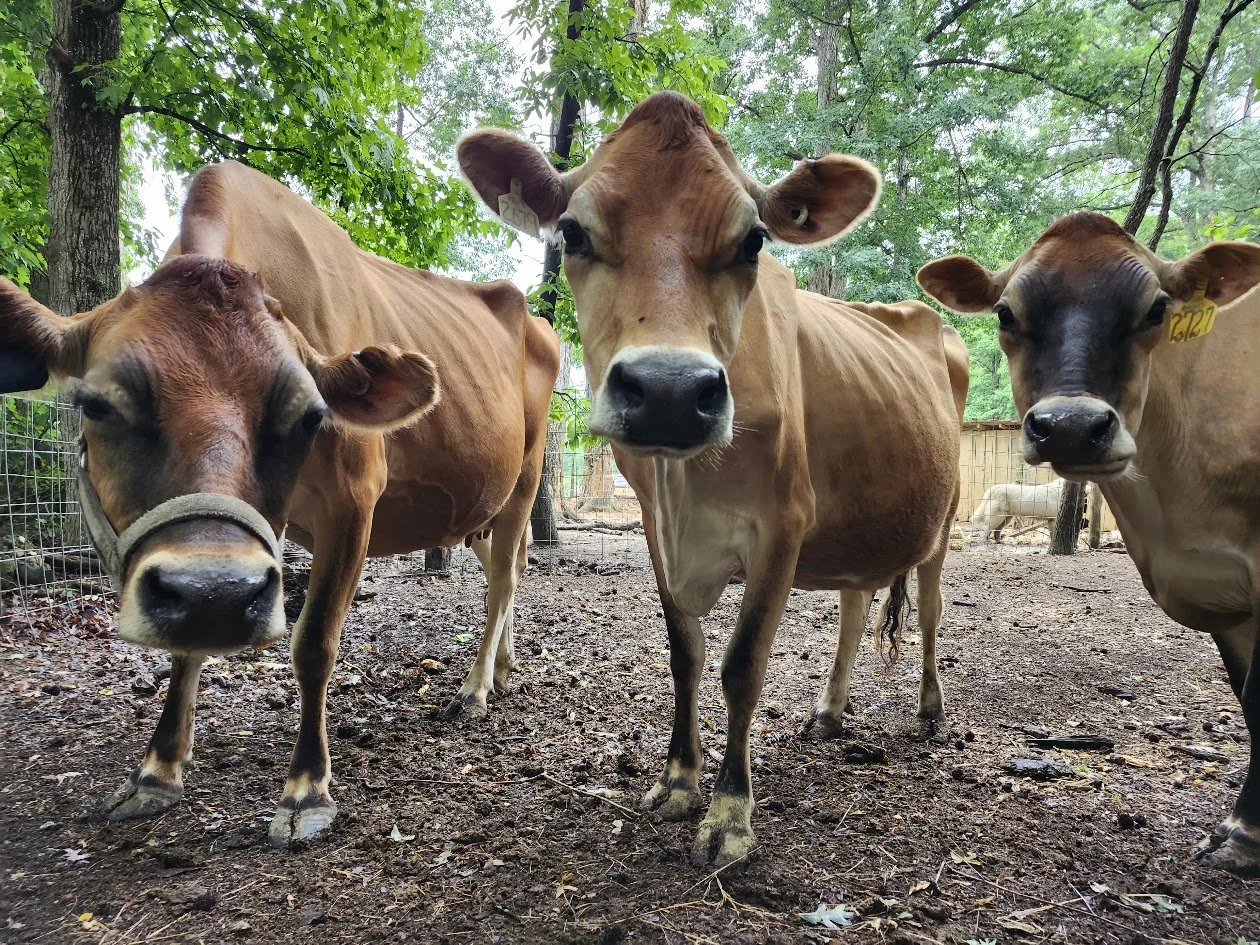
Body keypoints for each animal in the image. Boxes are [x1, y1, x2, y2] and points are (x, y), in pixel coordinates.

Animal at [0, 160, 560, 848]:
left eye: (311, 416)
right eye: (96, 404)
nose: (213, 591)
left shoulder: (354, 500)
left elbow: (314, 640)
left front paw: (307, 789)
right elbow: (189, 636)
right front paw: (157, 772)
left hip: (525, 477)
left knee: (504, 581)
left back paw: (477, 688)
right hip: (481, 509)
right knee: (511, 574)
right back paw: (503, 669)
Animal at [459, 91, 969, 866]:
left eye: (754, 240)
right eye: (572, 232)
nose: (669, 391)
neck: (687, 486)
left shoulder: (783, 526)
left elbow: (741, 664)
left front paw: (731, 811)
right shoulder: (653, 527)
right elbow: (685, 654)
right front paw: (678, 779)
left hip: (943, 518)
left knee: (934, 613)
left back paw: (932, 712)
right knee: (855, 604)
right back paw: (830, 710)